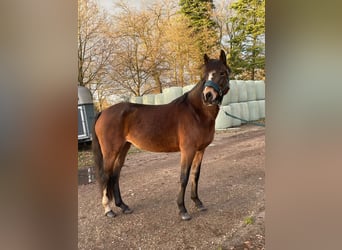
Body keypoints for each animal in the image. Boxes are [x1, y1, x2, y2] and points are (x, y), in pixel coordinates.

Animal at [92, 49, 231, 221]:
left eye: (222, 73)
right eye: (204, 75)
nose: (208, 96)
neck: (196, 112)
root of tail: (103, 112)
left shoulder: (200, 150)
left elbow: (195, 175)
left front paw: (198, 202)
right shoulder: (188, 150)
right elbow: (184, 177)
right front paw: (182, 209)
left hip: (124, 148)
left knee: (115, 176)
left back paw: (123, 206)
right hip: (111, 151)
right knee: (105, 176)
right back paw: (108, 209)